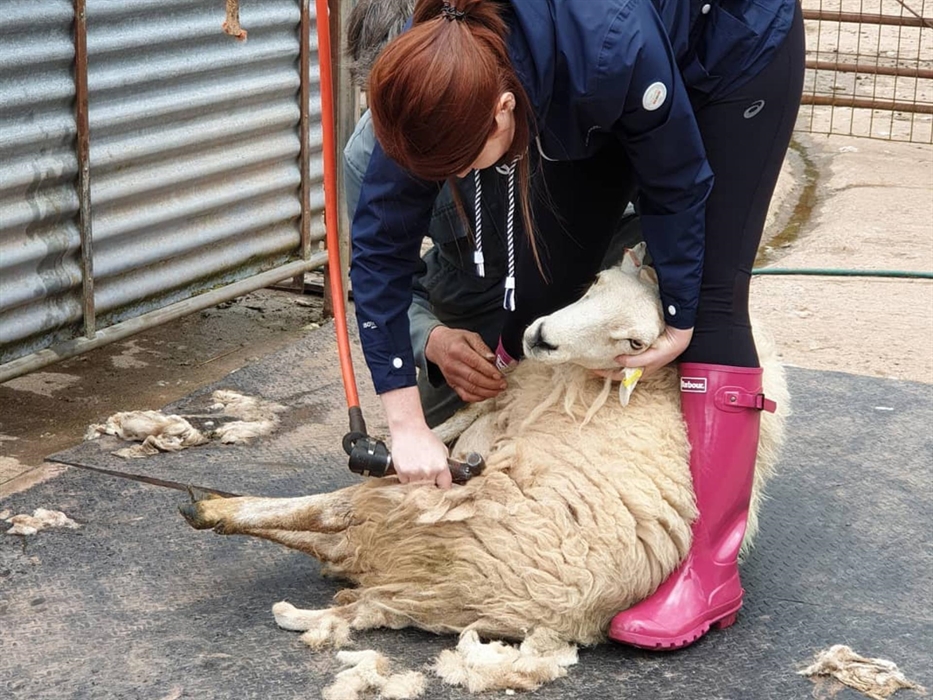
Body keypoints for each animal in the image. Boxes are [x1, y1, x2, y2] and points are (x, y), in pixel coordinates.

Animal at [179, 244, 788, 690]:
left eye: (636, 342)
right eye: (594, 283)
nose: (541, 336)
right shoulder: (496, 402)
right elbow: (452, 424)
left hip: (436, 505)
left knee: (330, 515)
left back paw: (216, 508)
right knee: (336, 537)